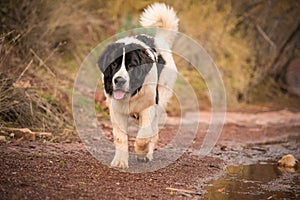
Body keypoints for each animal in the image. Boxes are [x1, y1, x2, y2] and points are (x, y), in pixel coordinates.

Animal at [98, 3, 178, 169]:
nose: (119, 80)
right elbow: (120, 137)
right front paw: (120, 161)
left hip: (161, 98)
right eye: (114, 64)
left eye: (131, 66)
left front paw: (141, 152)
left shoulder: (149, 107)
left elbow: (144, 135)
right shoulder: (116, 110)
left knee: (153, 130)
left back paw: (147, 153)